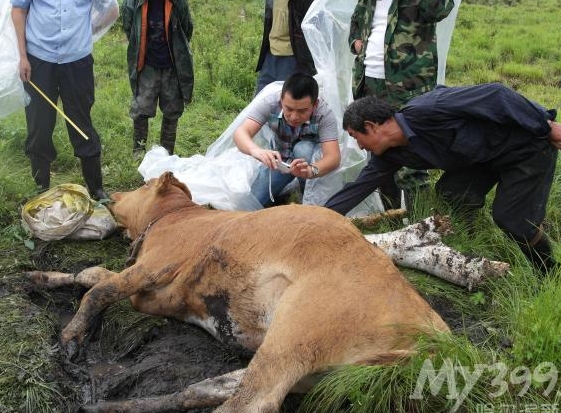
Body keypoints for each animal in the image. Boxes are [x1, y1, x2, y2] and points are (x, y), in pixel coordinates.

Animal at [26, 171, 448, 412]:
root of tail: (434, 329)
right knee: (208, 388)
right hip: (317, 371)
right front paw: (40, 278)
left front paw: (71, 338)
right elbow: (91, 273)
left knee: (253, 401)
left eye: (144, 185)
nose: (111, 194)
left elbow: (99, 290)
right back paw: (117, 406)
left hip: (297, 331)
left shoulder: (156, 264)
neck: (176, 218)